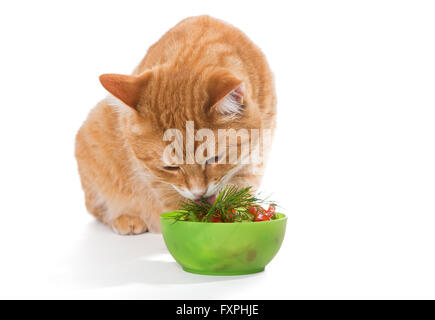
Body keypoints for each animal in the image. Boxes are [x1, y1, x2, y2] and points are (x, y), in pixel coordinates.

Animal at [75, 15, 276, 234]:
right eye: (170, 167)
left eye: (214, 159)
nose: (199, 192)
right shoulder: (151, 175)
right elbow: (172, 199)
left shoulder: (257, 153)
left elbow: (239, 188)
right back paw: (128, 218)